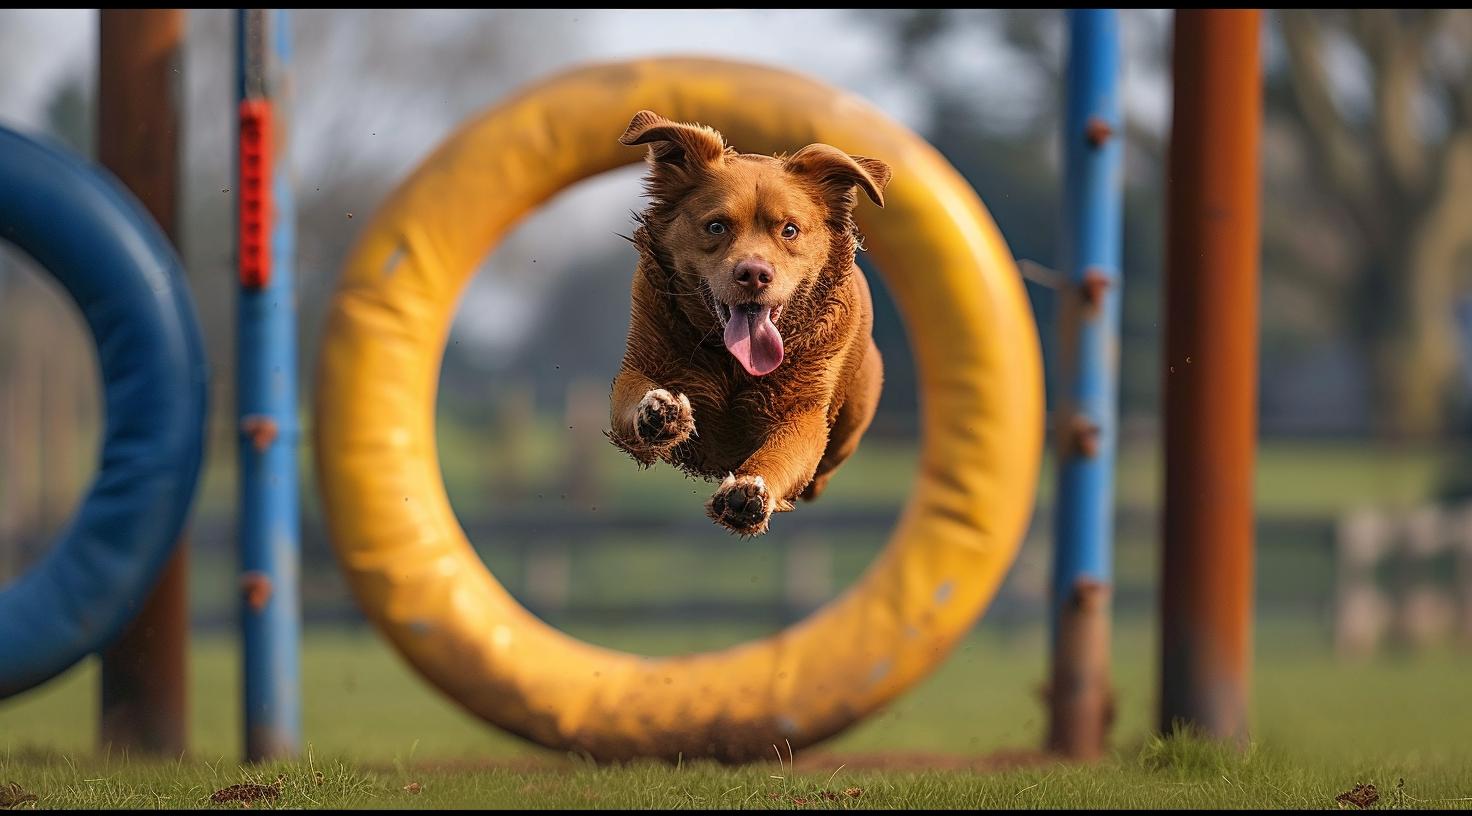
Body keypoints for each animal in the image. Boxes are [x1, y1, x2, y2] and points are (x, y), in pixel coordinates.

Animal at [606, 111, 889, 536]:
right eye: (716, 226)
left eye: (789, 230)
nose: (754, 274)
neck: (732, 363)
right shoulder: (641, 362)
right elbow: (631, 395)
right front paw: (659, 412)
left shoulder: (803, 412)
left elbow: (785, 451)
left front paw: (750, 491)